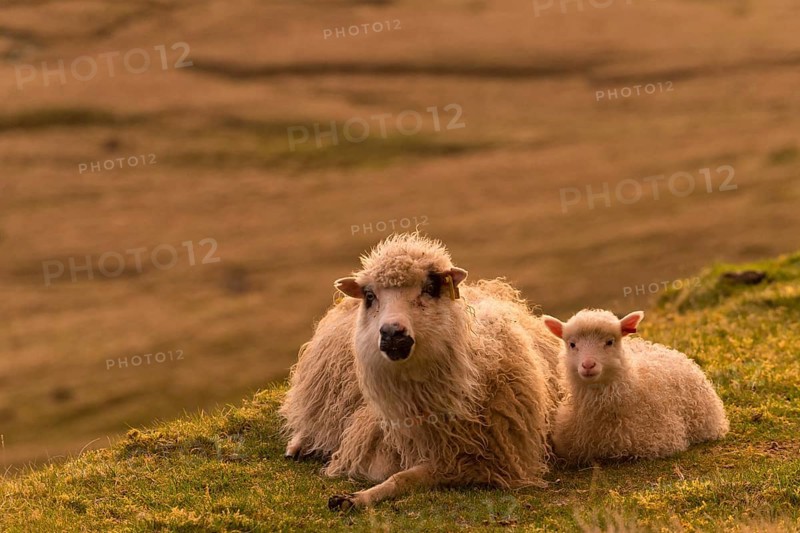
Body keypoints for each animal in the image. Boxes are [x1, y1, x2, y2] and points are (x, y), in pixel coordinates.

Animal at [325, 232, 562, 510]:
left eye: (429, 289)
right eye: (370, 296)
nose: (392, 333)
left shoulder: (478, 462)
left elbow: (403, 478)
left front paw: (358, 497)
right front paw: (354, 497)